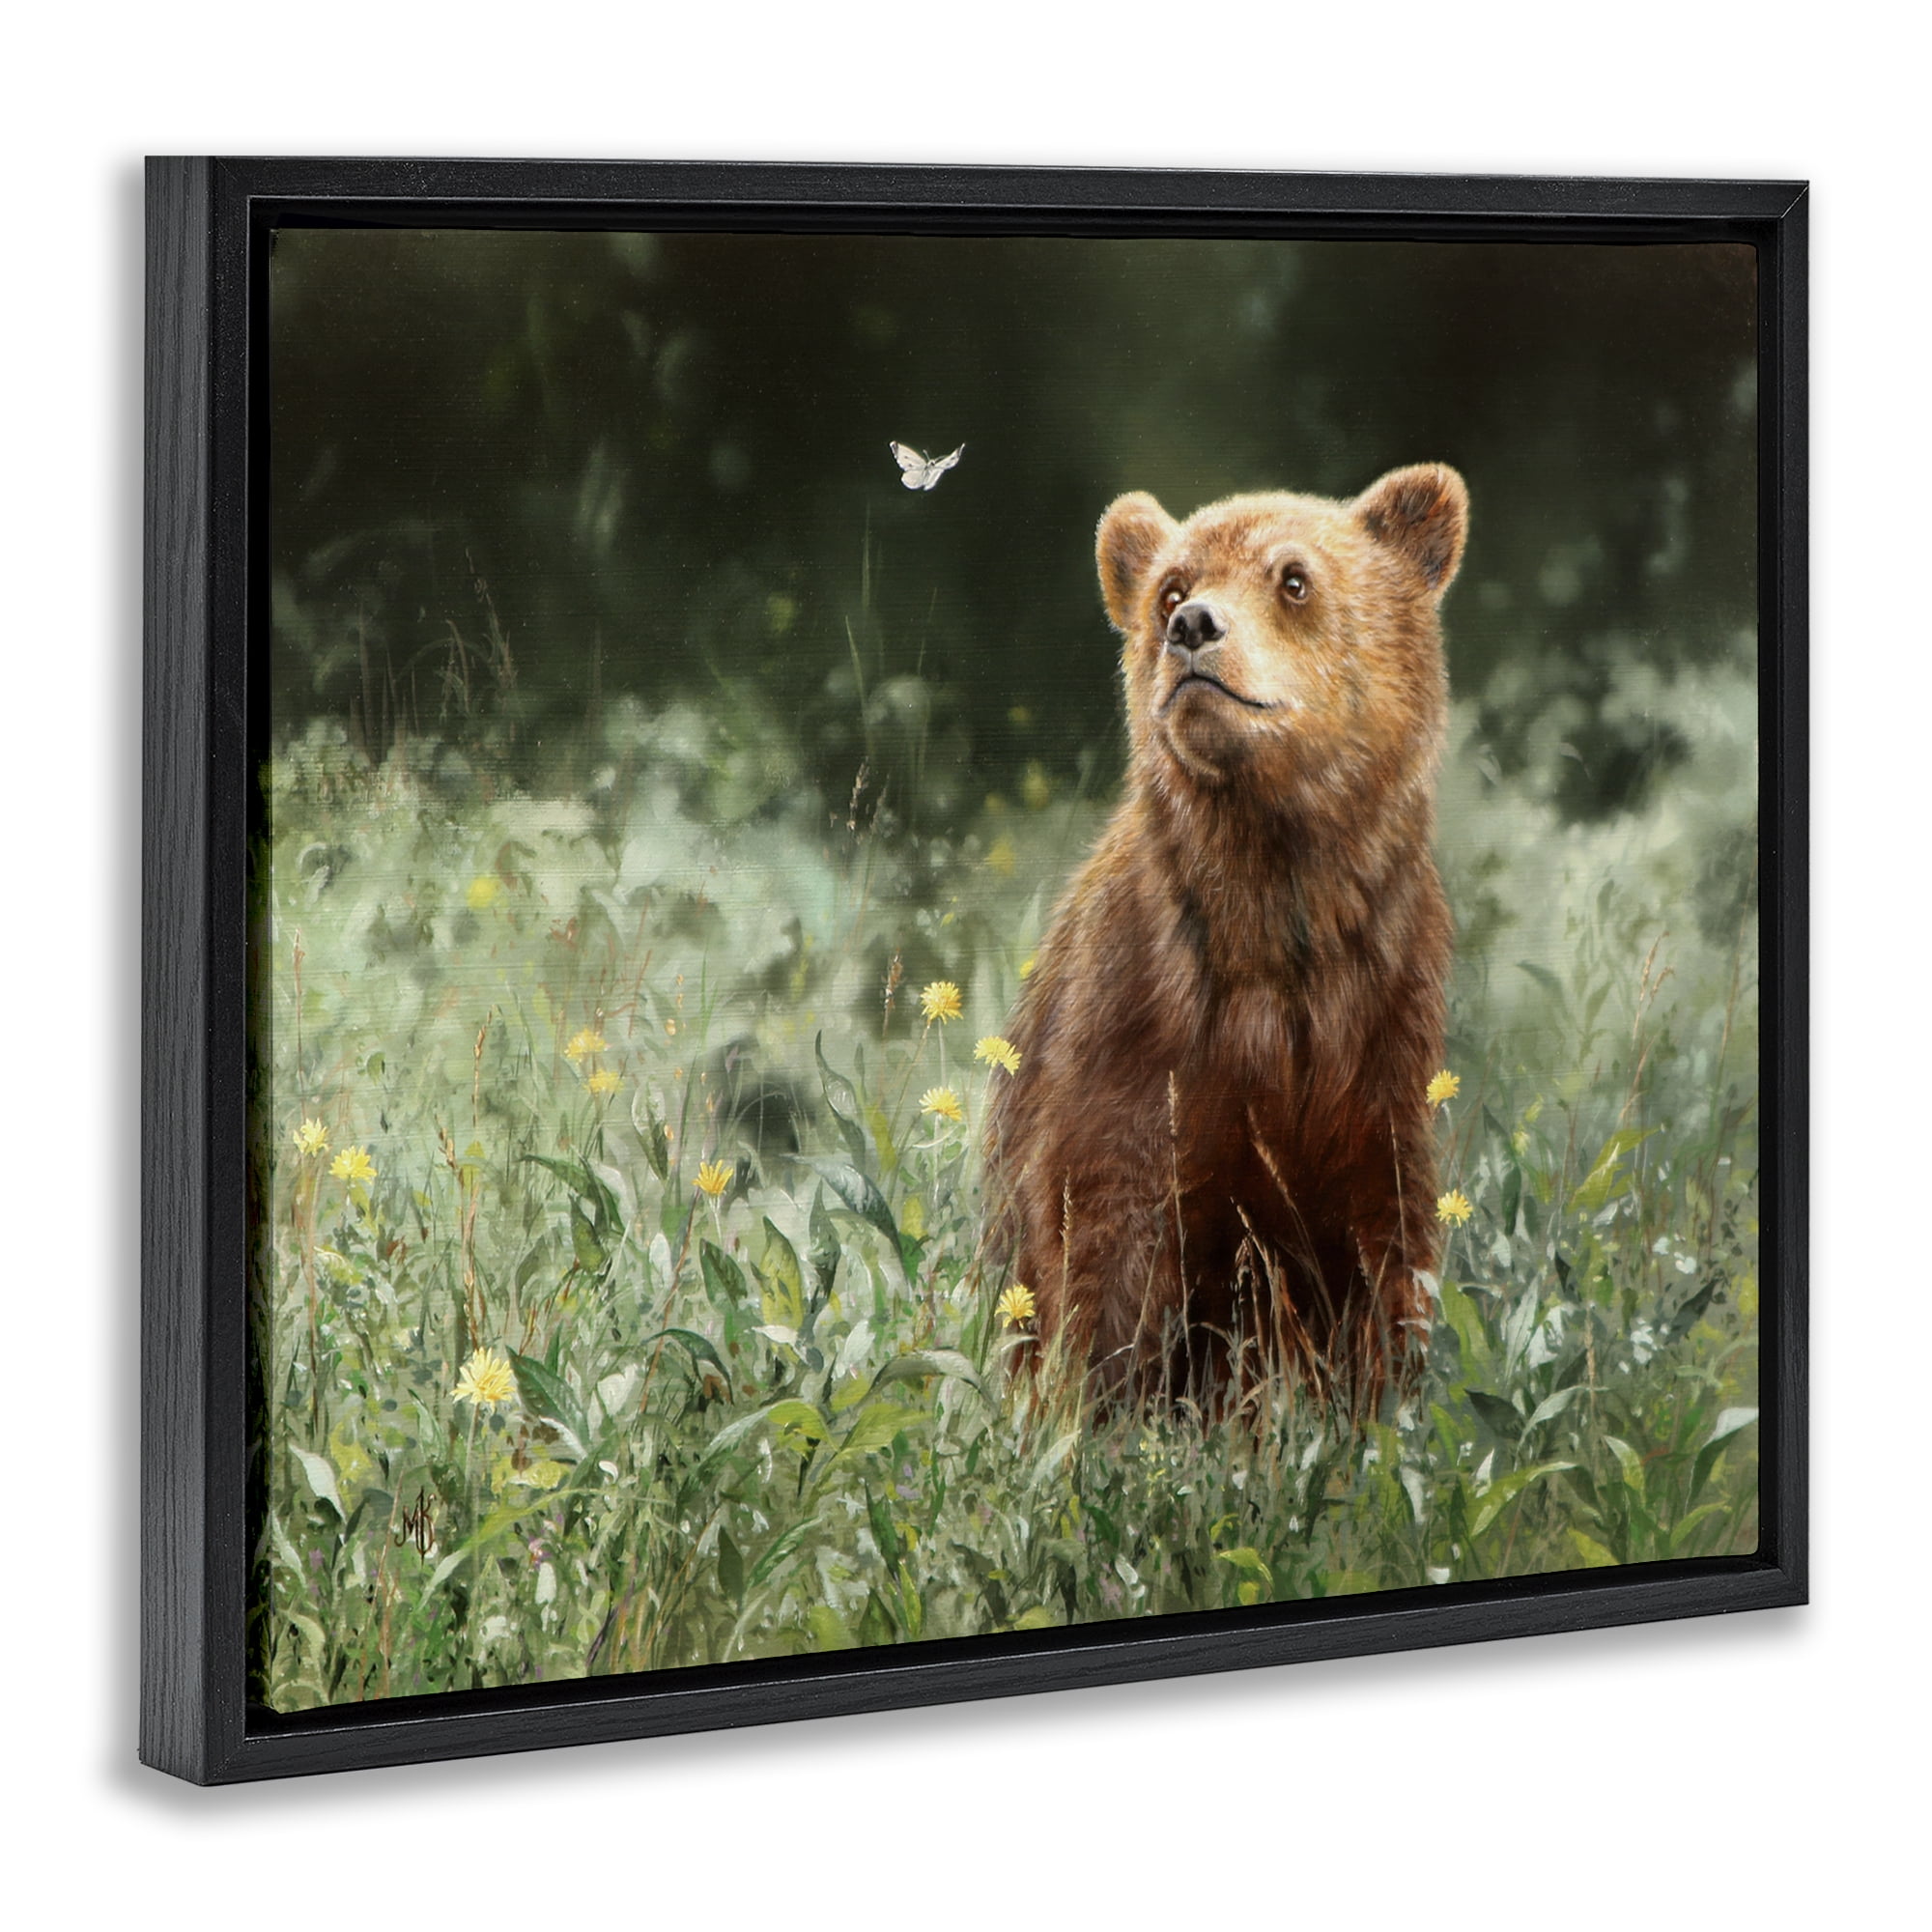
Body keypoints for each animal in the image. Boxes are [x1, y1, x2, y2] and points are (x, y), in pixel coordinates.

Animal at [983, 464, 1467, 1412]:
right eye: (1170, 586)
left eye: (1293, 578)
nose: (1192, 627)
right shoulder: (1138, 1030)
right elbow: (1104, 1240)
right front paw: (1099, 1410)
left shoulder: (1379, 1028)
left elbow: (1381, 1243)